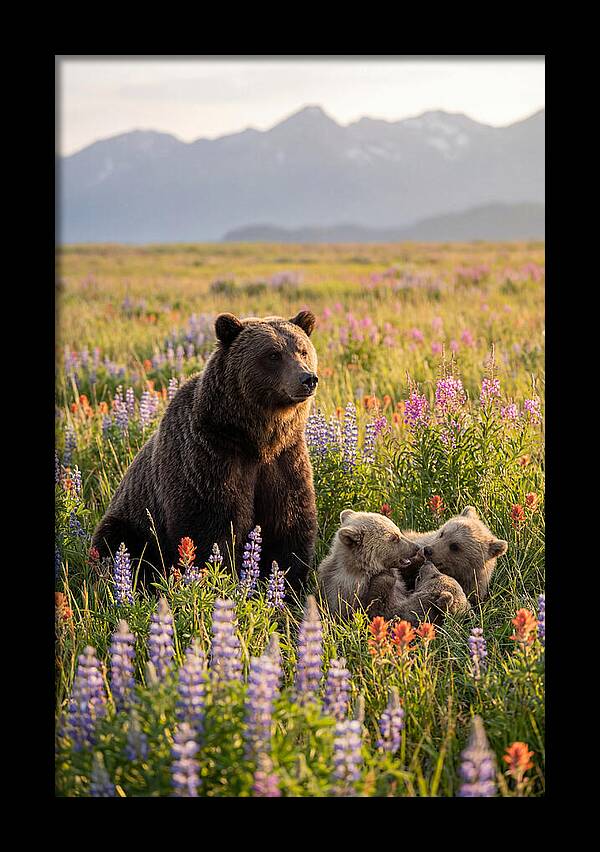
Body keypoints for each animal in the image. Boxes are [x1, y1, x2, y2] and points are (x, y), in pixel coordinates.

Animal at [92, 310, 319, 595]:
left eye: (302, 350)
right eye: (273, 354)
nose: (307, 378)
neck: (255, 439)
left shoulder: (285, 460)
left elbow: (289, 525)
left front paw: (289, 589)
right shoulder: (209, 458)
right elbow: (210, 528)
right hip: (132, 521)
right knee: (119, 545)